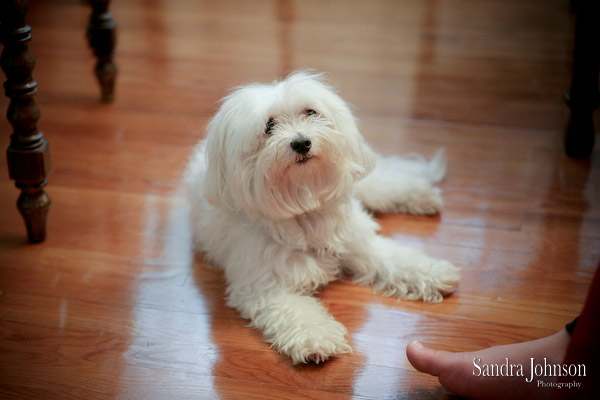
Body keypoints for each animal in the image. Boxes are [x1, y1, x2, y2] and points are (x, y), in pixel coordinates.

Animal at [185, 70, 462, 364]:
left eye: (310, 112)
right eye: (269, 126)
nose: (301, 142)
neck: (306, 209)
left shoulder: (360, 243)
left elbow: (396, 259)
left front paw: (432, 272)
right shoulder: (265, 284)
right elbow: (295, 311)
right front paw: (316, 337)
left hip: (366, 182)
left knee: (388, 181)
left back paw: (422, 195)